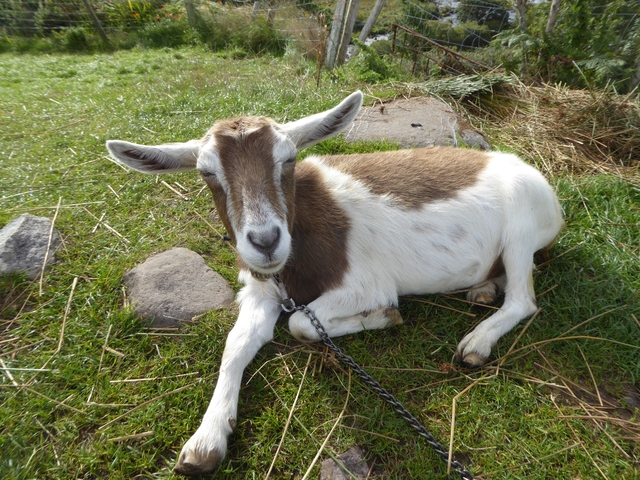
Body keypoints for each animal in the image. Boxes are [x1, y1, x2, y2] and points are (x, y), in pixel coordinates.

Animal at [106, 91, 564, 475]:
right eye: (206, 172)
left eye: (288, 159)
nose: (265, 241)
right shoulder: (262, 287)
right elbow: (238, 343)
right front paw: (205, 443)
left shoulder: (365, 284)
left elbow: (301, 323)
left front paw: (385, 315)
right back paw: (483, 290)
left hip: (522, 226)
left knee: (524, 299)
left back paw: (478, 341)